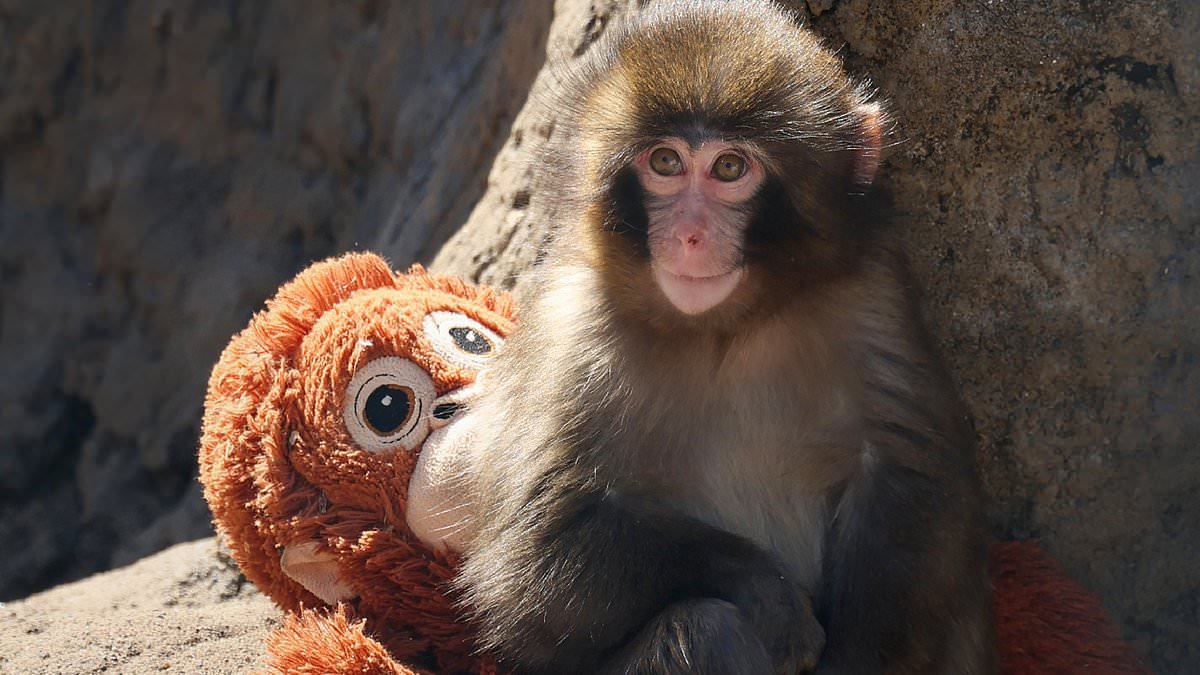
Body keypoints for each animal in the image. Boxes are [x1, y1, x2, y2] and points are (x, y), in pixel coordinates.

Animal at [454, 1, 998, 673]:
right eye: (665, 162)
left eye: (730, 168)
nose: (689, 234)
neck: (725, 328)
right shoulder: (573, 329)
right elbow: (534, 560)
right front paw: (769, 592)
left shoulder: (872, 295)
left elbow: (911, 481)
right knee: (703, 628)